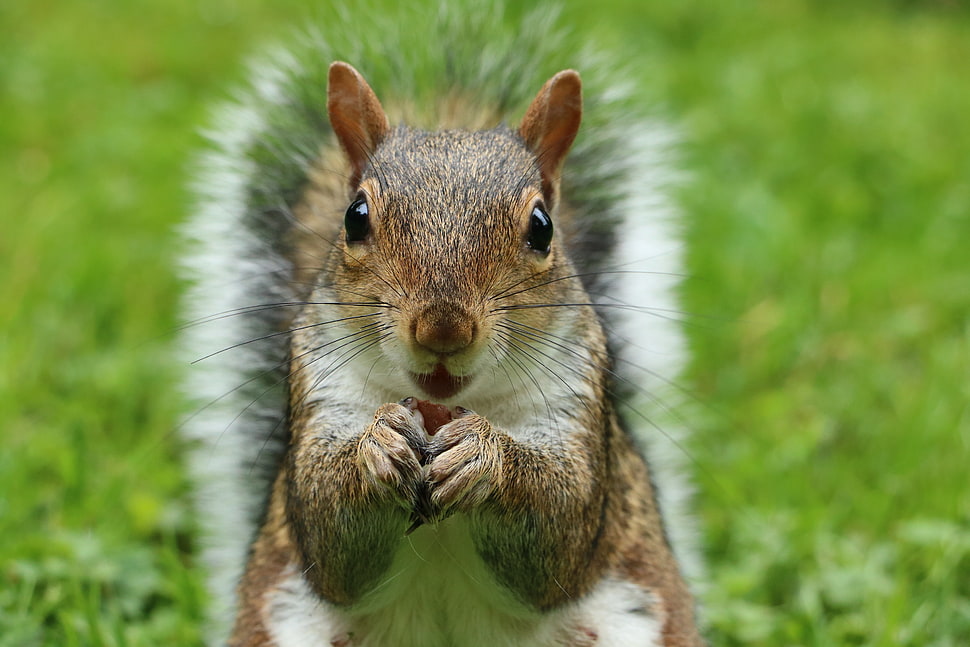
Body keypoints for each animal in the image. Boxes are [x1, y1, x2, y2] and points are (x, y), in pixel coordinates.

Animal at [179, 4, 704, 646]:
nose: (443, 332)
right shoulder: (320, 390)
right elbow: (329, 536)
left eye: (542, 227)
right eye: (355, 218)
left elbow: (560, 530)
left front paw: (484, 455)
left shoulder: (576, 405)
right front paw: (378, 444)